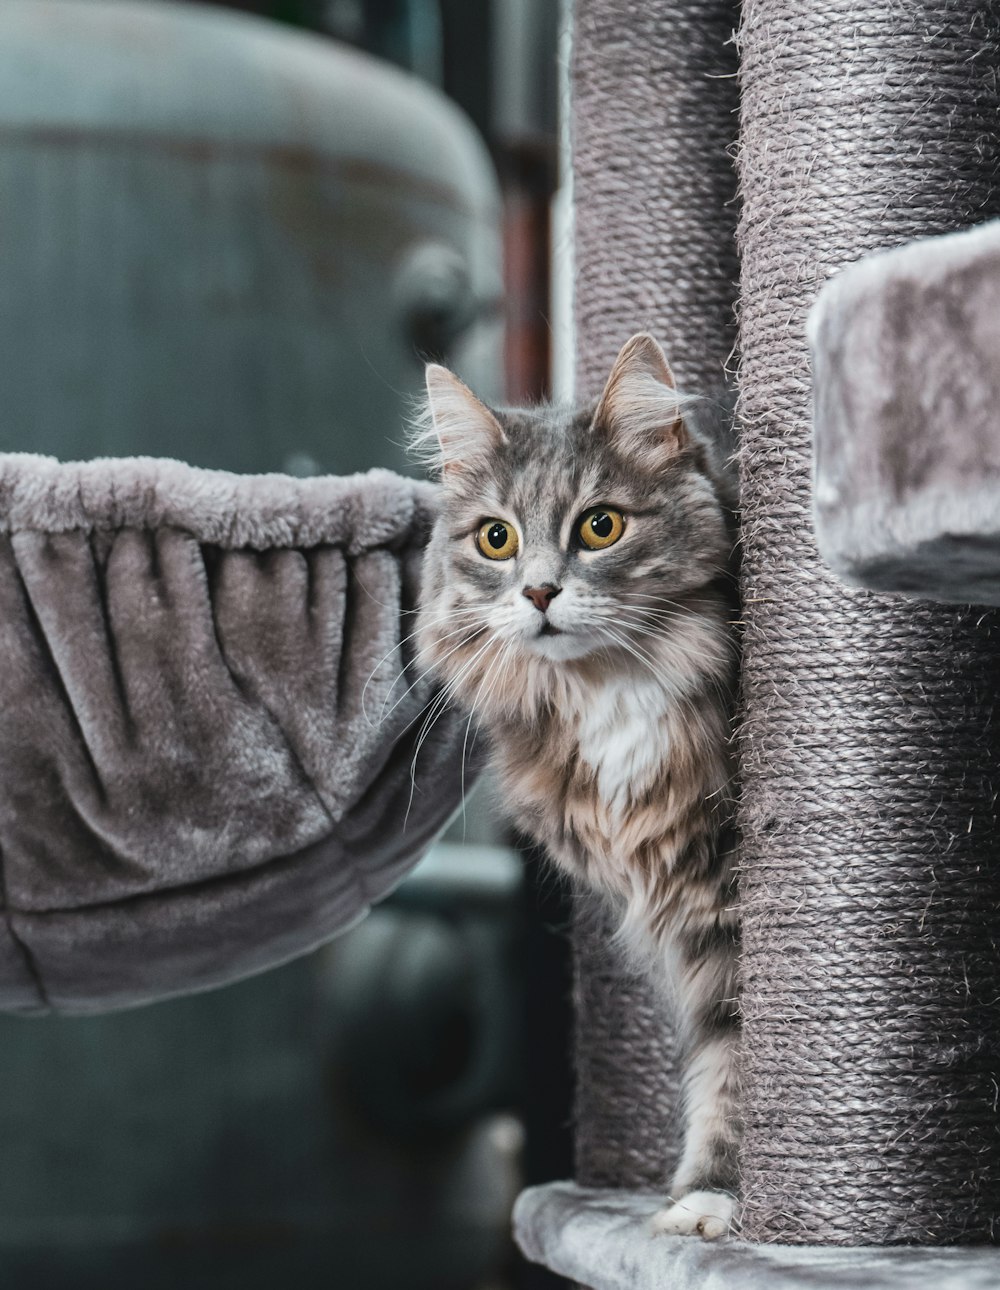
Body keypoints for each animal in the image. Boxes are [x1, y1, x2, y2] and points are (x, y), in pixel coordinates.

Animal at [410, 332, 738, 1238]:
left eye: (600, 526)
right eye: (496, 539)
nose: (539, 591)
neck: (608, 693)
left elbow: (736, 1068)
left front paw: (716, 1201)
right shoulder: (685, 922)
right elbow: (717, 1056)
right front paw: (694, 1196)